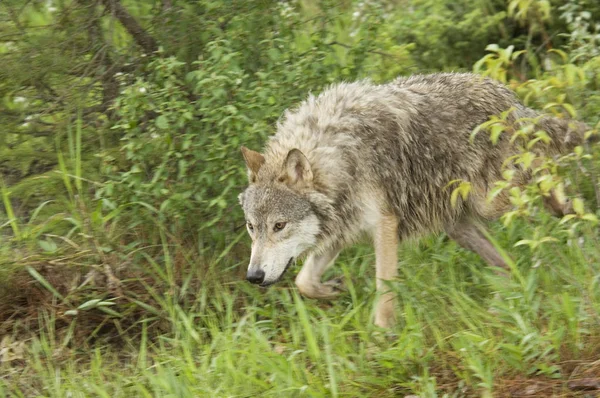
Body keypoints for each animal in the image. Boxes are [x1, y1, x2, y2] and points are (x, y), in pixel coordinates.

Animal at [236, 73, 592, 328]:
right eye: (252, 227)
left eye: (279, 225)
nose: (253, 277)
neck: (338, 156)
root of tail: (507, 95)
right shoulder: (341, 229)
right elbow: (304, 282)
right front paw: (335, 288)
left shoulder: (384, 224)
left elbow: (384, 286)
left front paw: (383, 336)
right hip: (458, 225)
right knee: (507, 264)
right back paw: (507, 300)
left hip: (493, 200)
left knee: (547, 176)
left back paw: (576, 221)